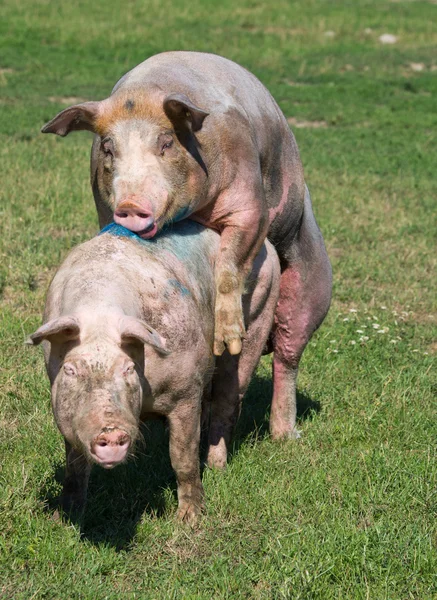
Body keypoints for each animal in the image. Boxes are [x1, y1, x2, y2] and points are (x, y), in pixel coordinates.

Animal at [27, 223, 280, 524]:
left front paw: (189, 519)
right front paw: (64, 517)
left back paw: (216, 466)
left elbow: (182, 456)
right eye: (70, 369)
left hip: (257, 316)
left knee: (229, 400)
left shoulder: (186, 390)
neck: (100, 312)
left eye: (128, 368)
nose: (110, 431)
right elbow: (74, 466)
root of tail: (269, 247)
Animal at [42, 49, 332, 438]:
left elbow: (231, 261)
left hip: (312, 278)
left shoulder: (249, 199)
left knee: (288, 354)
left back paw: (286, 437)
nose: (130, 205)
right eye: (108, 148)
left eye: (166, 142)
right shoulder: (102, 206)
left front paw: (228, 341)